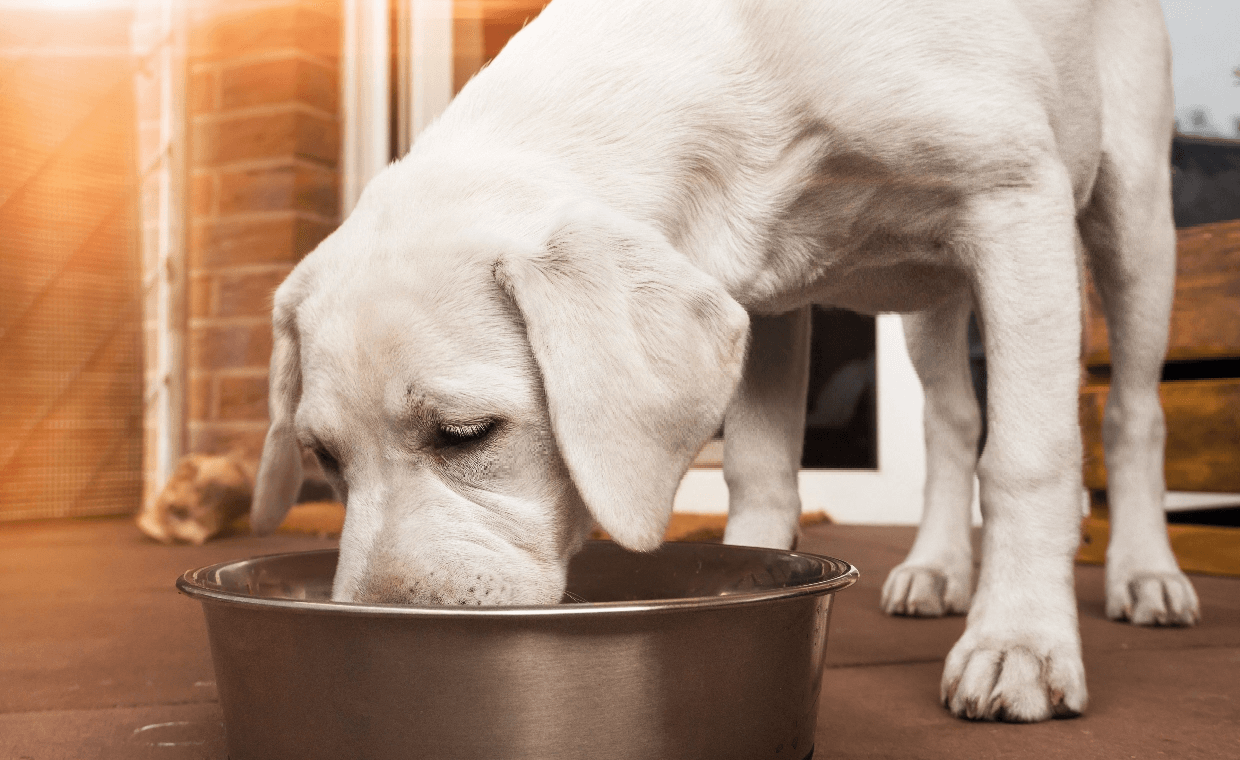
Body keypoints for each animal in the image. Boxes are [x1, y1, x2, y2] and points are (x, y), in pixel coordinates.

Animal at [249, 0, 1190, 719]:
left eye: (465, 433)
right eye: (323, 458)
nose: (376, 630)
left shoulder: (1013, 196)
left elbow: (1029, 457)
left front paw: (1020, 643)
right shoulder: (765, 300)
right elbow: (759, 472)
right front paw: (757, 575)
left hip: (1131, 213)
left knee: (1132, 413)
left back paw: (1146, 574)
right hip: (936, 299)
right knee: (953, 421)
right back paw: (936, 567)